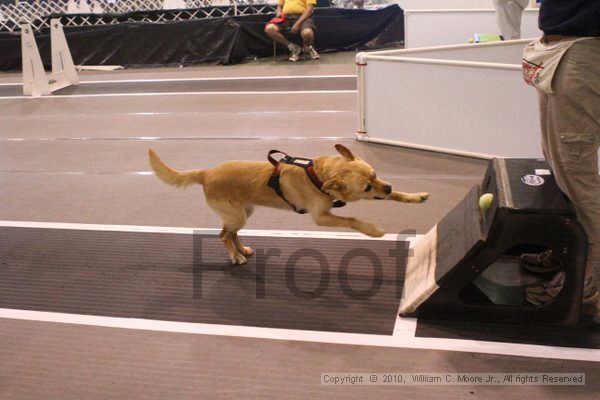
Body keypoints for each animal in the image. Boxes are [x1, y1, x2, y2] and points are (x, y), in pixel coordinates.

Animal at [150, 145, 432, 266]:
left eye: (375, 174)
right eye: (366, 188)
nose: (388, 187)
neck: (319, 176)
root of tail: (206, 173)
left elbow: (401, 197)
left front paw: (414, 196)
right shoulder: (321, 217)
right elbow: (351, 221)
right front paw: (373, 230)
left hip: (244, 212)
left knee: (232, 233)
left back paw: (242, 249)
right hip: (236, 214)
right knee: (223, 236)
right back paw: (234, 256)